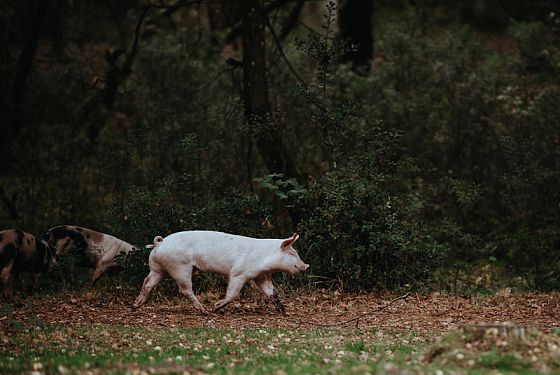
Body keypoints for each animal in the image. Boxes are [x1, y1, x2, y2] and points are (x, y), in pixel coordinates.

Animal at [133, 232, 310, 314]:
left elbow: (272, 293)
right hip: (180, 267)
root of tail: (160, 243)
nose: (307, 266)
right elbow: (233, 293)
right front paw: (216, 306)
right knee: (185, 290)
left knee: (147, 282)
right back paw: (205, 311)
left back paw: (136, 305)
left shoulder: (261, 276)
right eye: (292, 253)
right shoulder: (239, 273)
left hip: (157, 268)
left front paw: (284, 312)